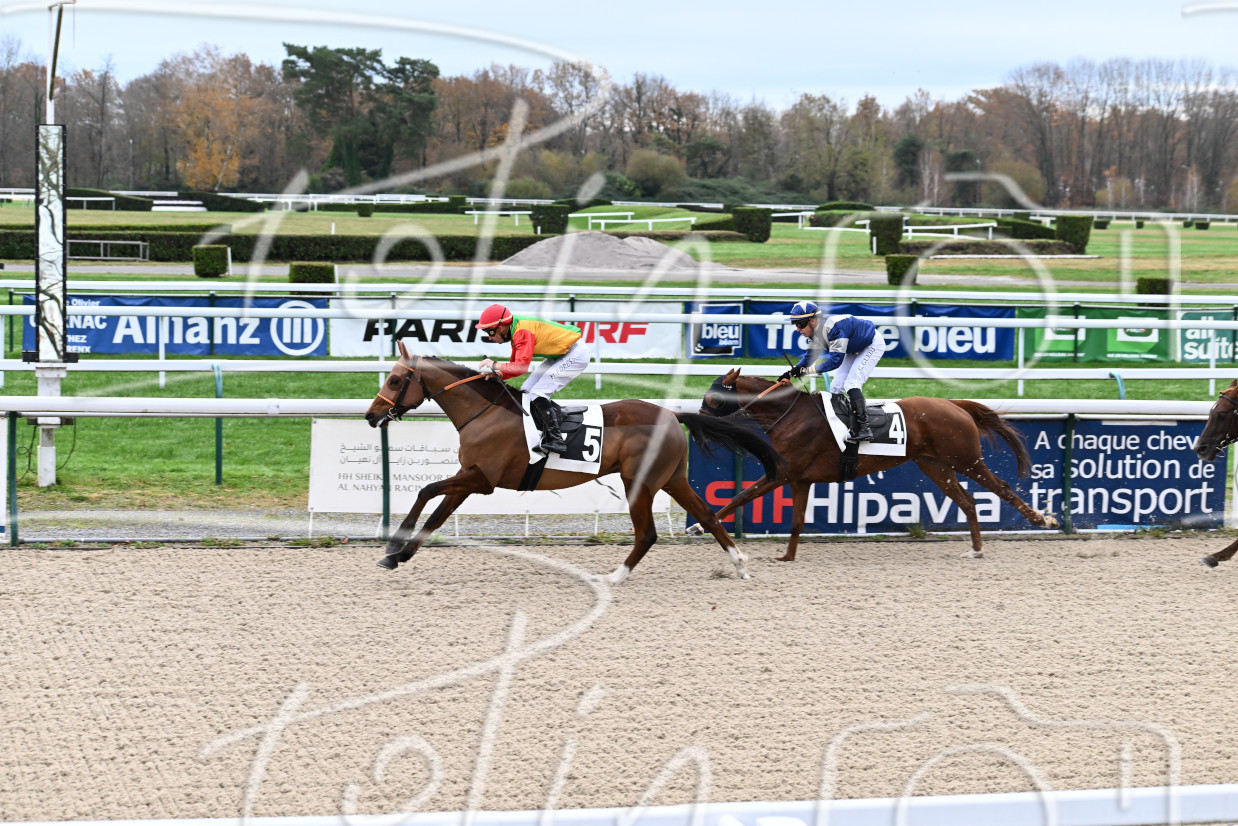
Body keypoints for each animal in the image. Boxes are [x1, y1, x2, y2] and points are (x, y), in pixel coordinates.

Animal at [363, 343, 785, 583]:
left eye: (396, 380)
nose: (371, 415)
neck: (485, 413)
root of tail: (671, 414)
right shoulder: (470, 478)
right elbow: (436, 515)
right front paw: (397, 556)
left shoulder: (480, 479)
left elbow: (425, 490)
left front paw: (393, 543)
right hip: (671, 479)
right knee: (709, 516)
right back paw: (740, 564)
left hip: (640, 482)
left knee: (647, 533)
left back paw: (614, 577)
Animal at [688, 368, 1059, 560]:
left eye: (713, 397)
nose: (695, 424)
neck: (790, 415)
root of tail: (955, 405)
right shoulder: (799, 479)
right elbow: (794, 520)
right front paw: (787, 556)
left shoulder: (783, 473)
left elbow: (740, 496)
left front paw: (698, 527)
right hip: (935, 466)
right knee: (968, 501)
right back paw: (976, 549)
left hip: (965, 459)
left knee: (1002, 488)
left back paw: (1042, 519)